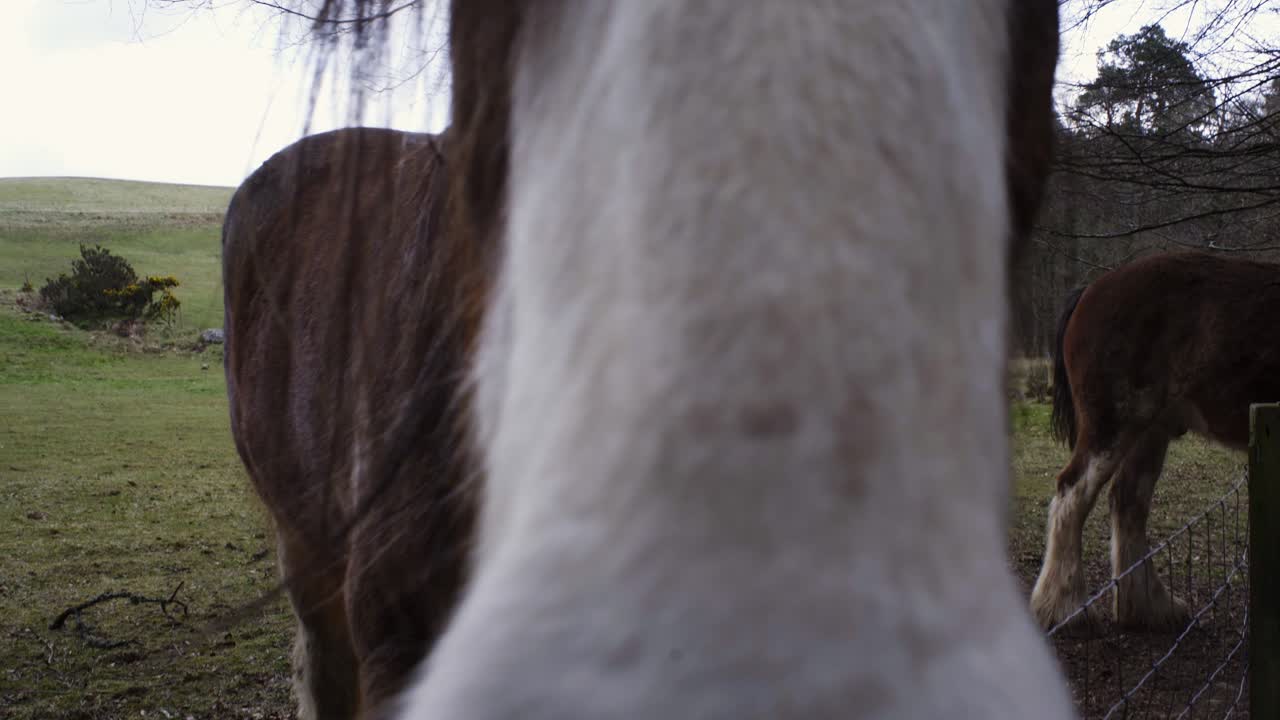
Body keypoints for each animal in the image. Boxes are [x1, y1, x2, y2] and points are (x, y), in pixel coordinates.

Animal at [1031, 251, 1280, 632]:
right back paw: (1065, 609)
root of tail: (1093, 289)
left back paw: (1148, 607)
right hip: (1111, 427)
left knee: (1128, 501)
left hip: (1150, 430)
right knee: (1071, 495)